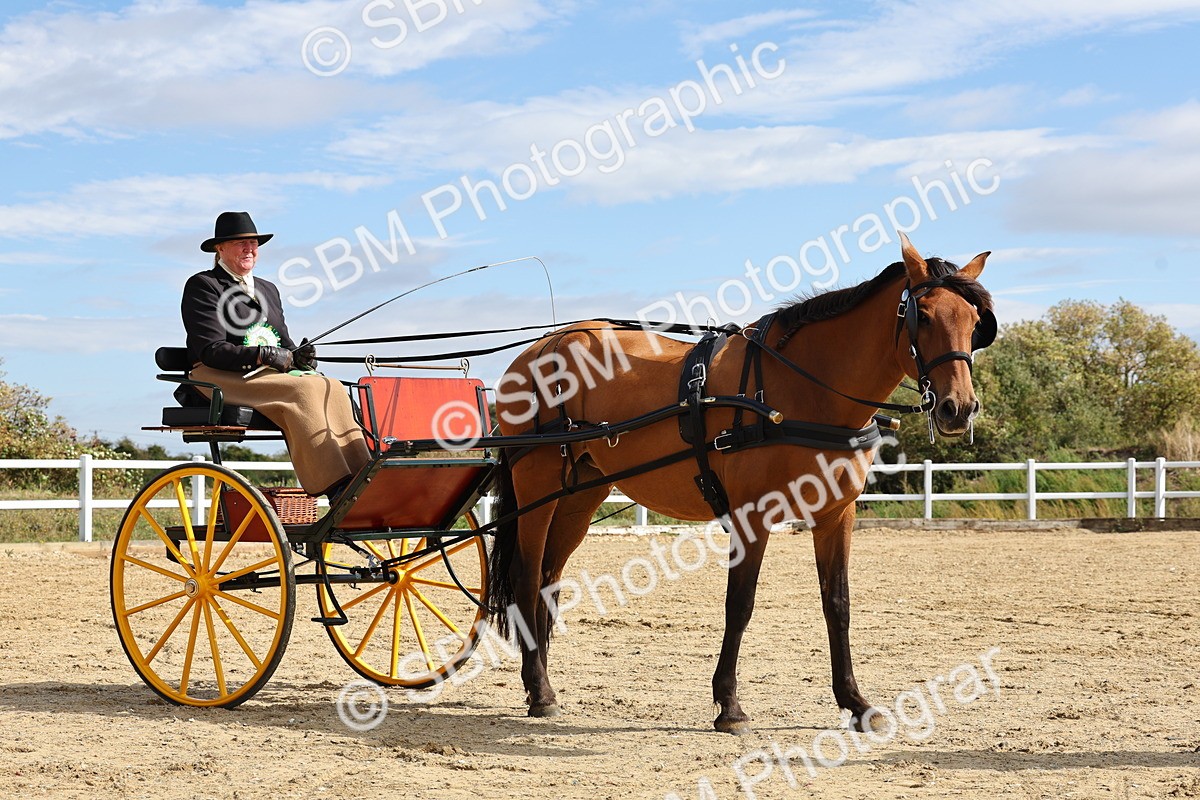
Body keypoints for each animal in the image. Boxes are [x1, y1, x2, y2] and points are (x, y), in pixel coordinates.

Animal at [485, 233, 993, 733]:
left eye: (973, 321)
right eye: (923, 315)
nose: (959, 408)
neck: (805, 388)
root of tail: (535, 351)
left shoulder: (836, 515)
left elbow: (838, 604)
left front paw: (855, 702)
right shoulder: (753, 514)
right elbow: (740, 604)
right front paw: (729, 705)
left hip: (580, 492)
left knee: (549, 578)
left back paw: (541, 683)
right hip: (536, 487)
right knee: (527, 578)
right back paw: (539, 690)